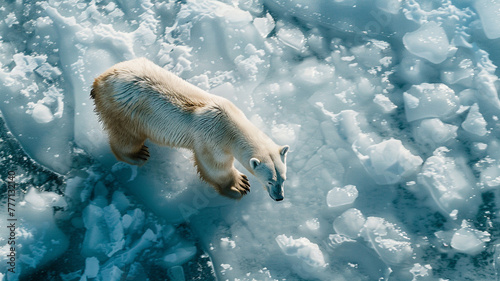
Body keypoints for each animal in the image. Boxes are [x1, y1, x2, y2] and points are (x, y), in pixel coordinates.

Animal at [92, 58, 292, 200]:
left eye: (283, 178)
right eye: (269, 181)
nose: (279, 198)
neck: (228, 123)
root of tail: (98, 81)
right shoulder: (211, 141)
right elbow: (215, 168)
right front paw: (239, 185)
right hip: (125, 113)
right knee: (127, 137)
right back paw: (138, 154)